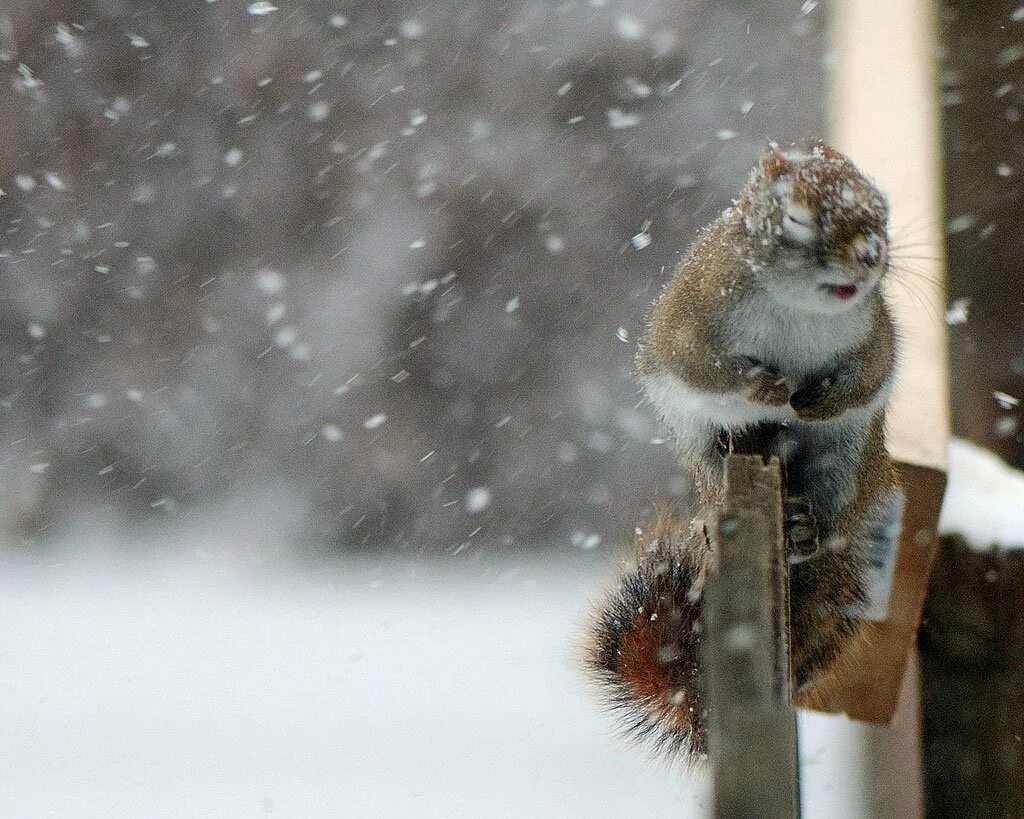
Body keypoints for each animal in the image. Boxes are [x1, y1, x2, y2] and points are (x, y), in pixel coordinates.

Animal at [585, 142, 905, 761]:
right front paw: (769, 388)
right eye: (798, 218)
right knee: (716, 473)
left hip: (848, 464)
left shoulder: (874, 332)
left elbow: (871, 373)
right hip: (703, 451)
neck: (802, 310)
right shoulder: (692, 323)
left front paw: (819, 399)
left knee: (828, 518)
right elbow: (704, 369)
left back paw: (805, 529)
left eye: (882, 212)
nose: (869, 255)